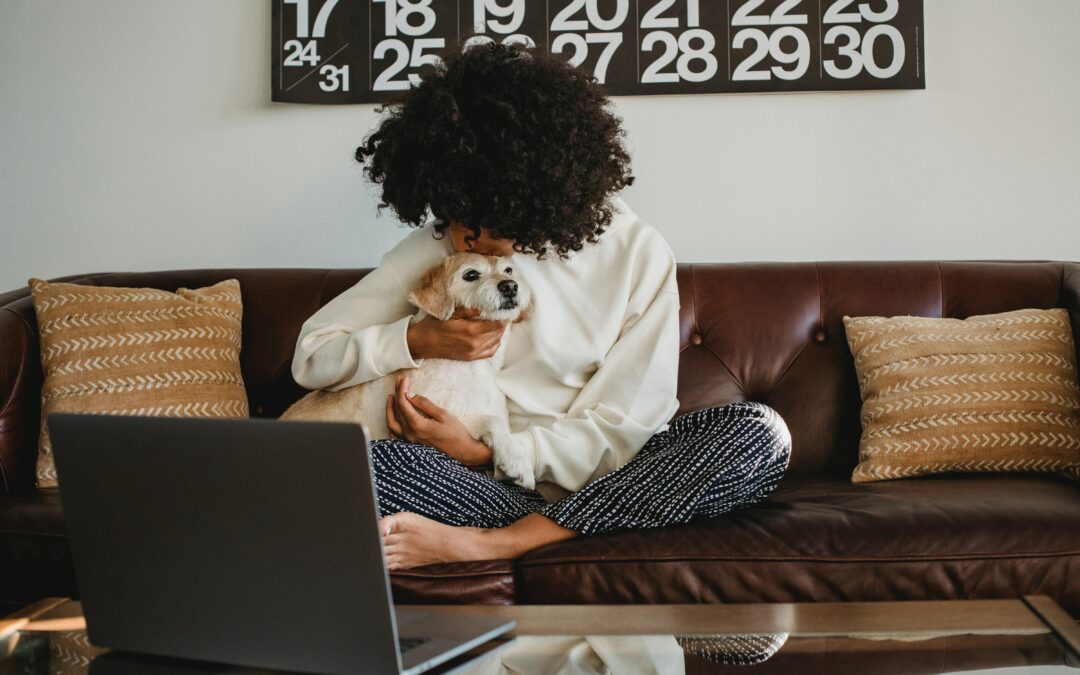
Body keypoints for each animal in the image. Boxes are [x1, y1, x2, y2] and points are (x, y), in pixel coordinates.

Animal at [276, 252, 533, 490]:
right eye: (471, 274)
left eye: (508, 270)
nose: (510, 286)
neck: (471, 367)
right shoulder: (428, 416)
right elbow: (491, 421)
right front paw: (516, 459)